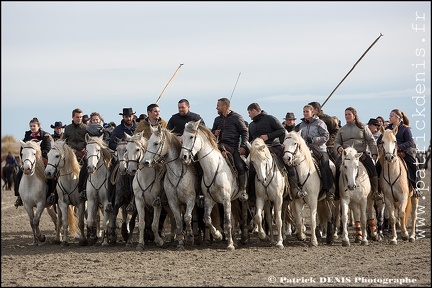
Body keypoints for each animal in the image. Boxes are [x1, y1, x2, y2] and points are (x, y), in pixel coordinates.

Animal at [177, 119, 241, 250]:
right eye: (182, 137)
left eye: (191, 137)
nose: (183, 157)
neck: (214, 168)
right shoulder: (208, 200)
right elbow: (207, 219)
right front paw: (218, 235)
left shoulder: (225, 199)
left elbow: (227, 223)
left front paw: (230, 245)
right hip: (233, 200)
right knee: (234, 219)